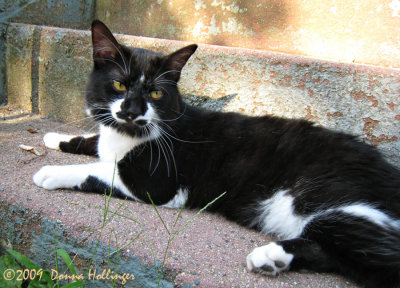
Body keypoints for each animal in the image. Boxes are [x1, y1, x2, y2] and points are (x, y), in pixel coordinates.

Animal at [34, 20, 400, 288]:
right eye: (120, 85)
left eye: (156, 93)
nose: (133, 110)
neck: (132, 135)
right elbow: (94, 142)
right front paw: (57, 137)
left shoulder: (155, 183)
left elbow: (99, 169)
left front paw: (51, 171)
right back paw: (272, 260)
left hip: (337, 202)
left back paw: (268, 254)